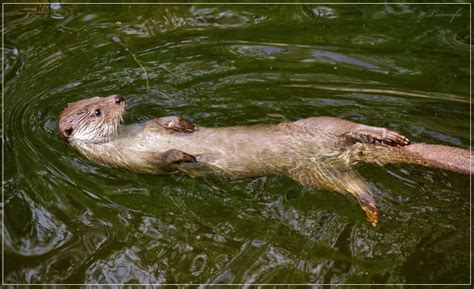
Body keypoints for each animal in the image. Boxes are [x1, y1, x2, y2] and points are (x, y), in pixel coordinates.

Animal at [57, 94, 472, 225]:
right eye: (97, 110)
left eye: (104, 96)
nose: (119, 98)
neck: (131, 138)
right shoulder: (130, 163)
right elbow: (161, 162)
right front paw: (186, 156)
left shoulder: (150, 125)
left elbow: (167, 121)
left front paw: (186, 126)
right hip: (314, 173)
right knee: (355, 185)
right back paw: (371, 208)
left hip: (320, 126)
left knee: (352, 127)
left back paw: (389, 136)